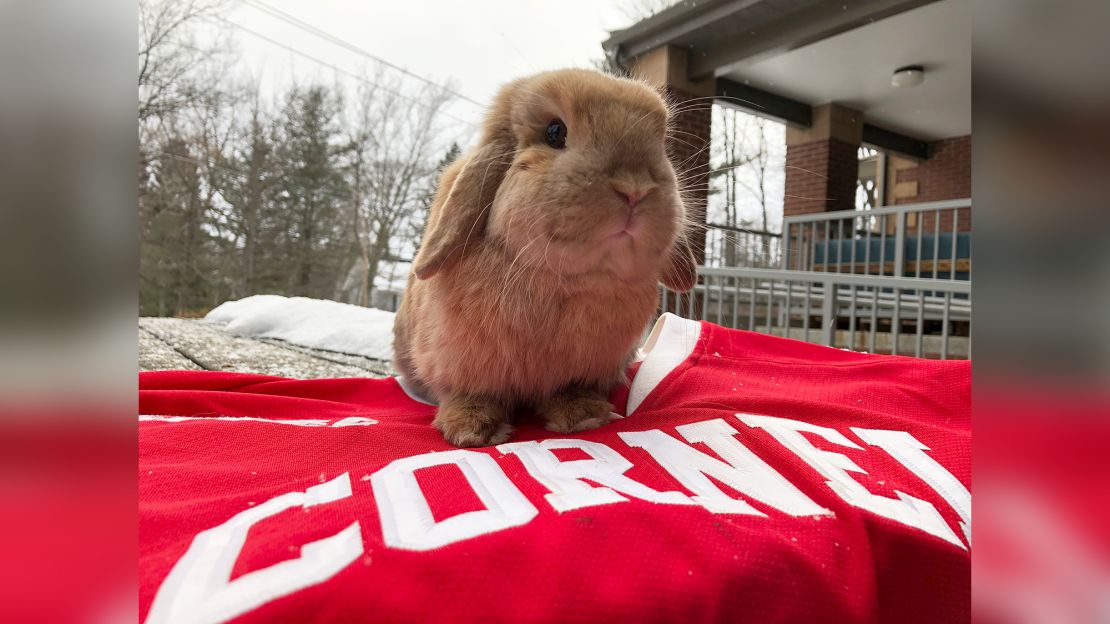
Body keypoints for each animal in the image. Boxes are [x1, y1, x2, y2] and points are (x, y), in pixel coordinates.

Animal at [395, 69, 697, 446]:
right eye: (555, 132)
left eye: (661, 143)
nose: (634, 189)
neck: (562, 282)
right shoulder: (458, 361)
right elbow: (471, 393)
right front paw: (470, 429)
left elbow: (569, 390)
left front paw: (583, 416)